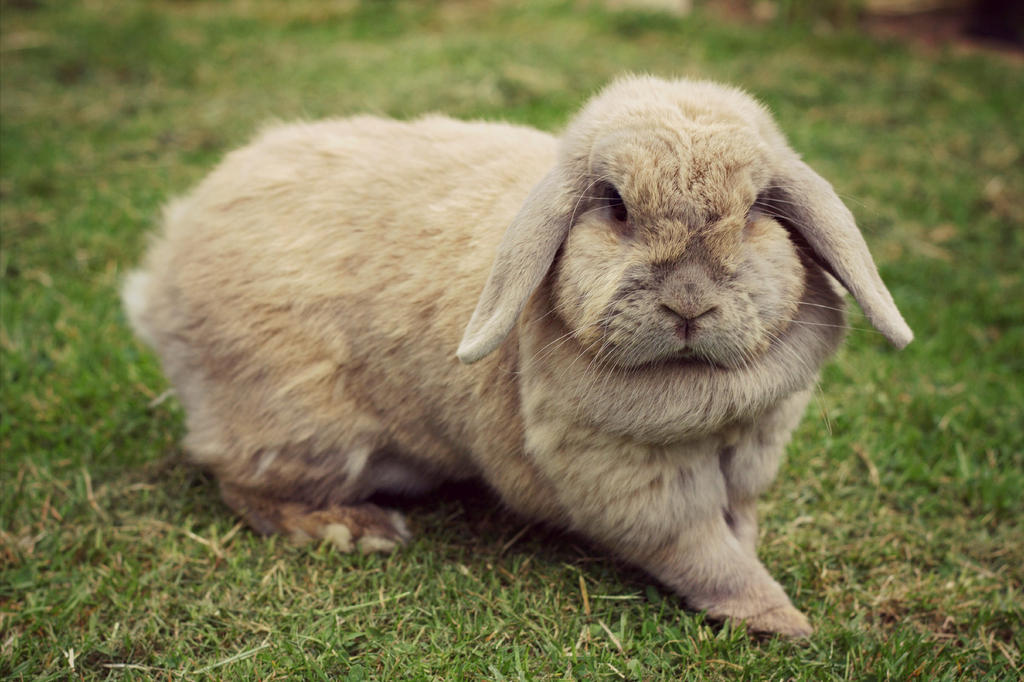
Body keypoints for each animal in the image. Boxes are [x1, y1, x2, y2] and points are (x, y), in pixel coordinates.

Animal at [123, 75, 912, 637]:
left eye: (756, 213)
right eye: (615, 207)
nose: (689, 304)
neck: (699, 396)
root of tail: (163, 273)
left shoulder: (746, 464)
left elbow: (737, 529)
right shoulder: (633, 483)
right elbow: (703, 554)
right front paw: (781, 620)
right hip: (304, 427)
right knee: (240, 481)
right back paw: (356, 530)